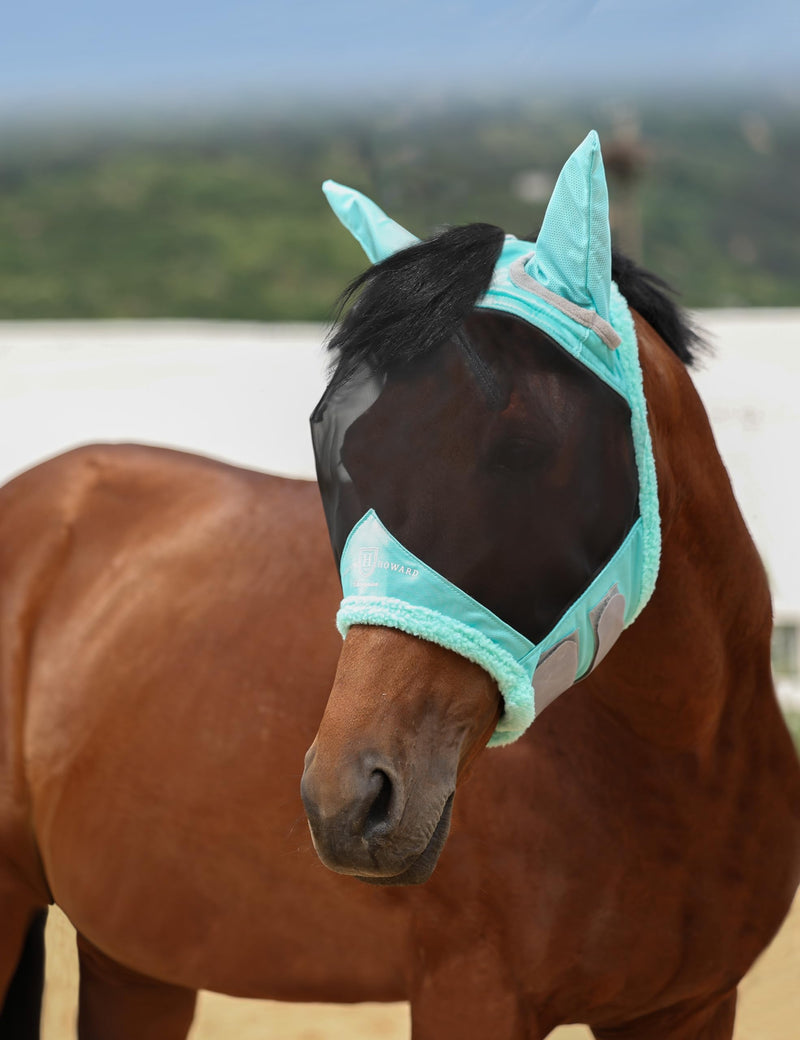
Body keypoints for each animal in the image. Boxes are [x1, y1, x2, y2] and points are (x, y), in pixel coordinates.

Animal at [1, 137, 799, 1040]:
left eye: (523, 446)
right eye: (331, 441)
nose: (345, 802)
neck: (682, 767)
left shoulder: (691, 1006)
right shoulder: (471, 991)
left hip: (136, 956)